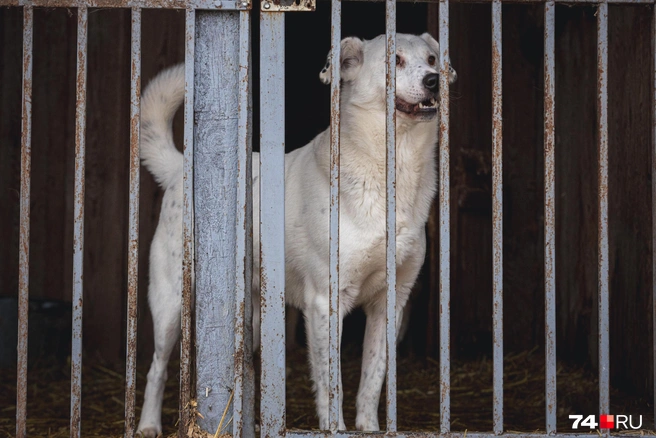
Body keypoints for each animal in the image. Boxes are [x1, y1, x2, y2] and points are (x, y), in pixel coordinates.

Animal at [137, 32, 456, 436]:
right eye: (393, 60)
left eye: (432, 59)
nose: (434, 81)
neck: (392, 168)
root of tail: (181, 169)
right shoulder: (325, 301)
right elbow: (331, 383)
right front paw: (334, 426)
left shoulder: (390, 301)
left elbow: (372, 379)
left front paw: (368, 426)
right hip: (171, 302)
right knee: (156, 368)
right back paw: (148, 423)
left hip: (254, 317)